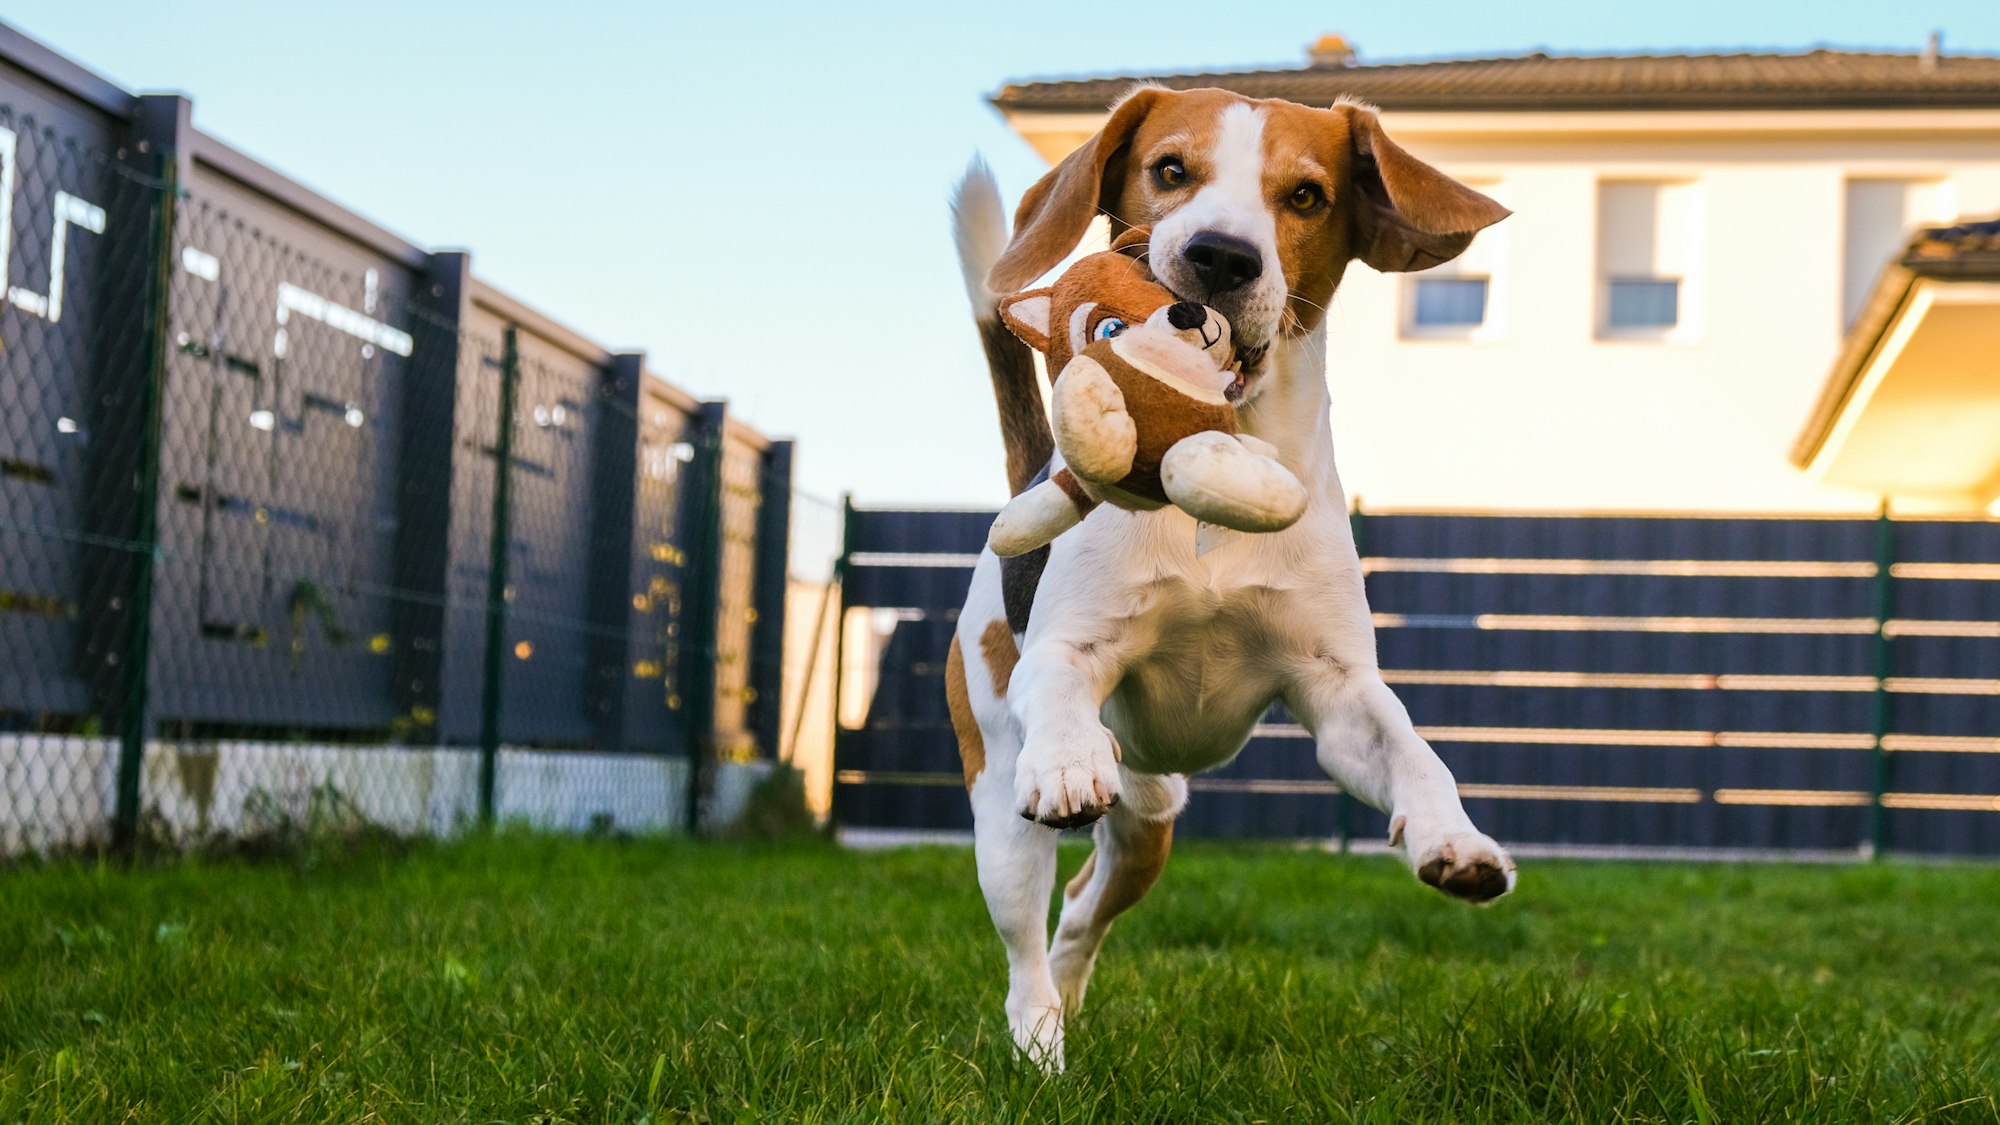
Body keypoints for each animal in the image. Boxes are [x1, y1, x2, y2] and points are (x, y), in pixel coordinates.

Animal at [952, 83, 1512, 1064]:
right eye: (1170, 169)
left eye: (1307, 195)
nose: (1220, 256)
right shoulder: (1067, 650)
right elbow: (1056, 678)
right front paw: (1066, 759)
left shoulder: (1338, 691)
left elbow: (1415, 753)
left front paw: (1455, 837)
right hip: (1001, 810)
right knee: (1025, 946)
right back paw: (1040, 1050)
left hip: (1149, 826)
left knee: (1080, 912)